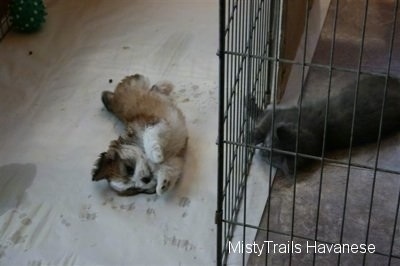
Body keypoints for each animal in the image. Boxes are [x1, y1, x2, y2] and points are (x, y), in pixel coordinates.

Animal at [252, 75, 400, 176]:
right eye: (267, 144)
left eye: (269, 160)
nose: (261, 151)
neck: (320, 134)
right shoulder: (282, 114)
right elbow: (264, 120)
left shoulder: (284, 113)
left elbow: (263, 118)